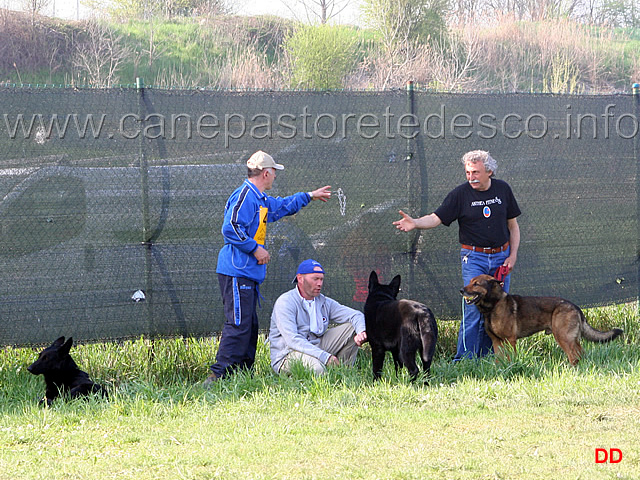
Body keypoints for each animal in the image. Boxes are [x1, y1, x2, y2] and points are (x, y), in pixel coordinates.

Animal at [462, 274, 624, 364]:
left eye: (476, 284)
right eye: (470, 282)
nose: (461, 290)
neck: (493, 306)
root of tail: (575, 306)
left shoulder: (510, 340)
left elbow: (510, 358)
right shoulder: (497, 342)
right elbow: (499, 361)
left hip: (563, 337)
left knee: (574, 356)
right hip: (571, 339)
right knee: (581, 354)